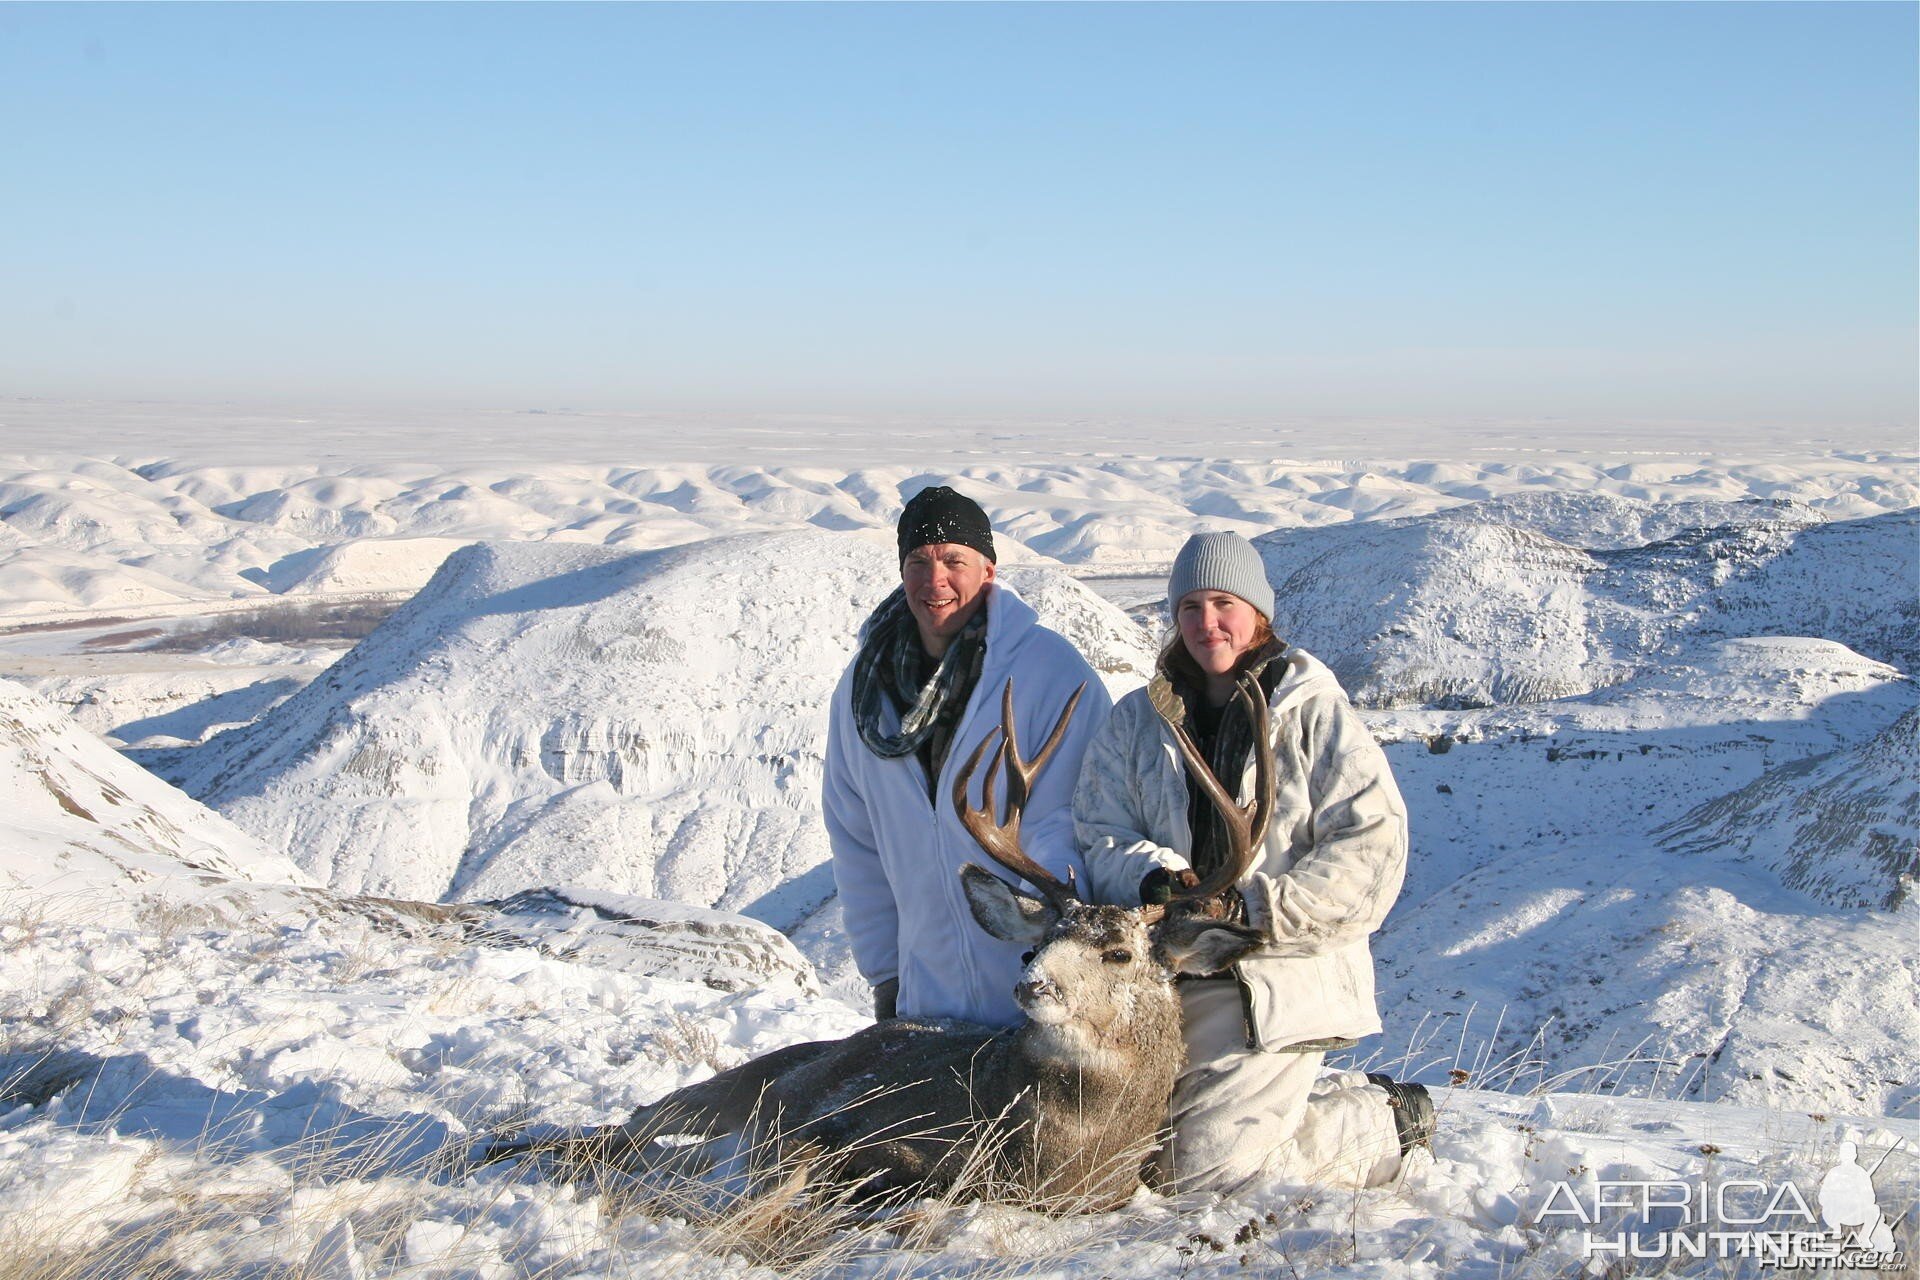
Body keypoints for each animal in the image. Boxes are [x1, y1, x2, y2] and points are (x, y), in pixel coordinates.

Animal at [491, 679, 1274, 1212]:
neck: (1062, 1152)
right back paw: (497, 1147)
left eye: (1118, 953)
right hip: (733, 1085)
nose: (1032, 986)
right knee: (625, 1129)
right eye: (1034, 946)